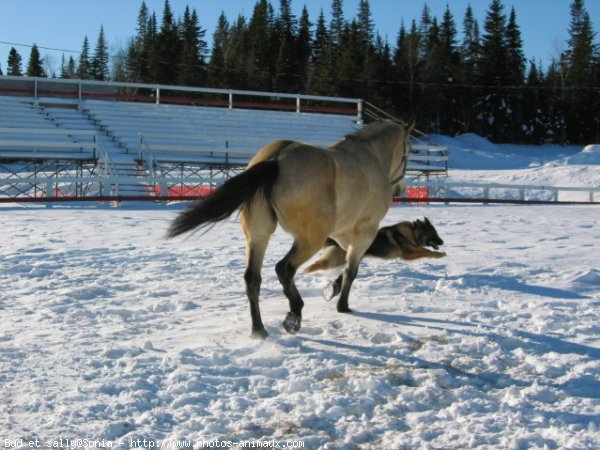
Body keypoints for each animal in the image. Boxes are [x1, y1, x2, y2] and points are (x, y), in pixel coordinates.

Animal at [166, 119, 414, 338]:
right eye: (410, 150)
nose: (400, 189)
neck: (371, 157)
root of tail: (276, 159)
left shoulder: (343, 233)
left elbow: (347, 262)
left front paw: (332, 289)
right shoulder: (365, 231)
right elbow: (351, 269)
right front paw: (342, 304)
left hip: (258, 235)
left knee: (252, 278)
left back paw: (259, 329)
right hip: (309, 239)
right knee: (284, 268)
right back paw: (294, 315)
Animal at [304, 217, 446, 300]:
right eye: (433, 233)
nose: (443, 241)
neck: (412, 232)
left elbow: (425, 251)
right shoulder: (408, 253)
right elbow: (427, 251)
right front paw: (440, 254)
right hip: (334, 260)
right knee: (315, 265)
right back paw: (303, 273)